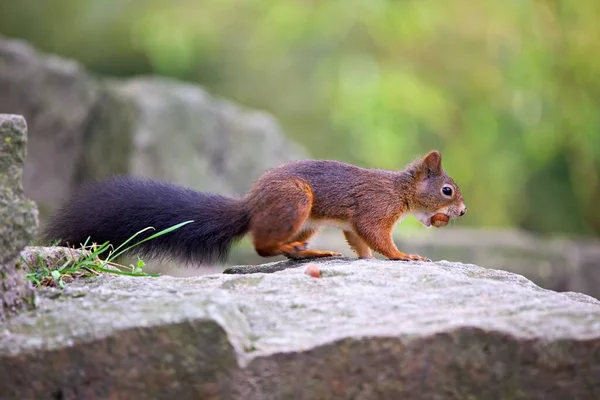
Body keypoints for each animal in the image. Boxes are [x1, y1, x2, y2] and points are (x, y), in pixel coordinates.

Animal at [48, 150, 468, 262]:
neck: (400, 191)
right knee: (262, 245)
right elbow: (377, 237)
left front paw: (365, 259)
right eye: (448, 190)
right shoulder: (374, 211)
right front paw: (403, 256)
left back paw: (305, 250)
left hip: (307, 220)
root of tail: (251, 205)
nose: (463, 212)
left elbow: (359, 241)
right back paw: (299, 249)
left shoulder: (351, 224)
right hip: (296, 202)